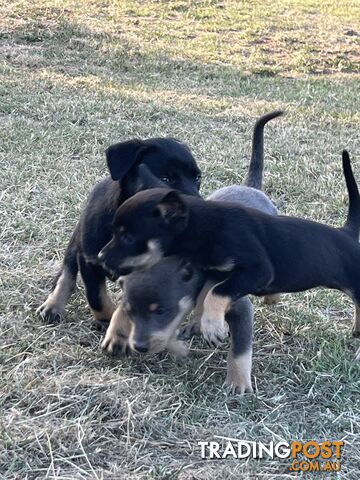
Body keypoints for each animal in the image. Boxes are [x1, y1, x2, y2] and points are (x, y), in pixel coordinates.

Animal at [37, 137, 201, 328]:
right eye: (166, 178)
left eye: (197, 178)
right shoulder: (88, 259)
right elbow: (96, 297)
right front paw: (107, 320)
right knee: (67, 270)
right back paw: (53, 305)